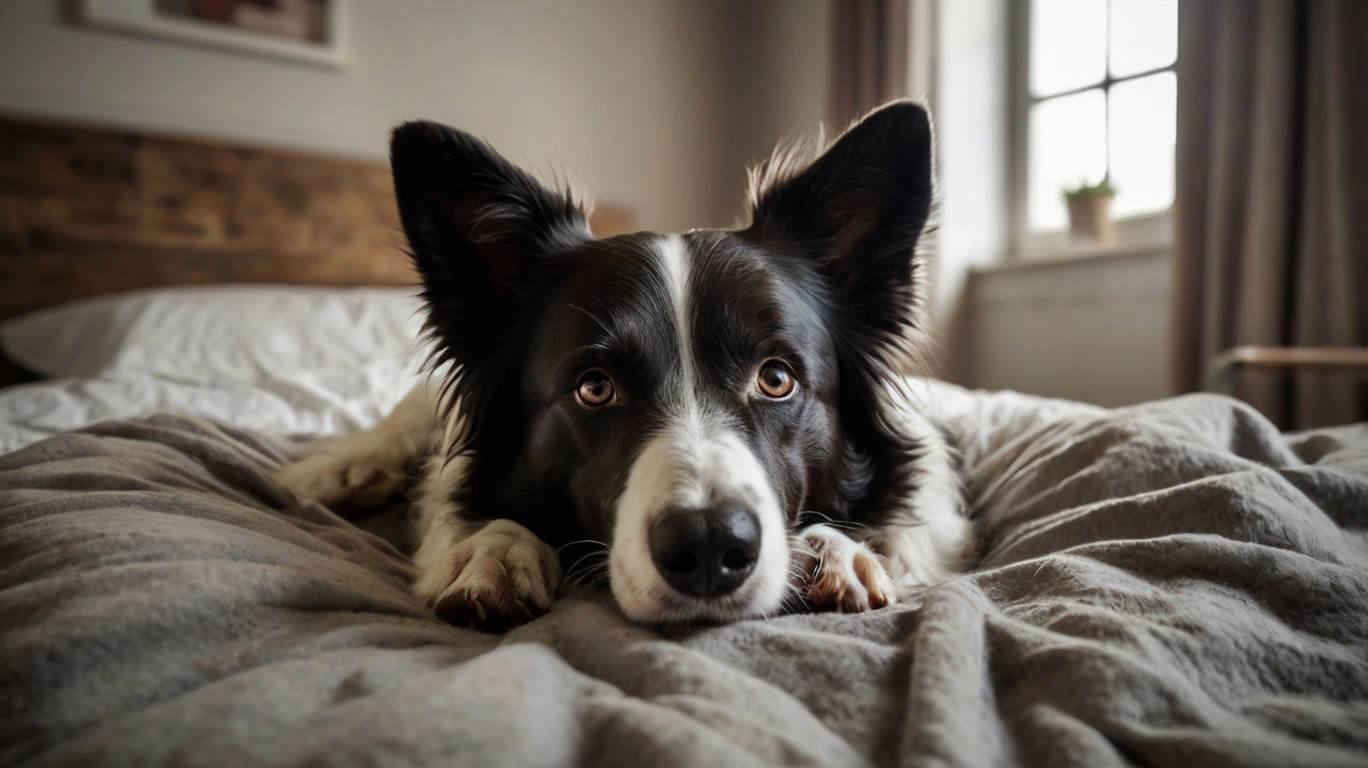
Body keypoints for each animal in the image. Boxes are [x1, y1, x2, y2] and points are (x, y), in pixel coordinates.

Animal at [274, 98, 974, 626]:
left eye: (776, 378)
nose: (709, 544)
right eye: (594, 388)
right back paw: (334, 474)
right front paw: (493, 548)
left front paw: (839, 549)